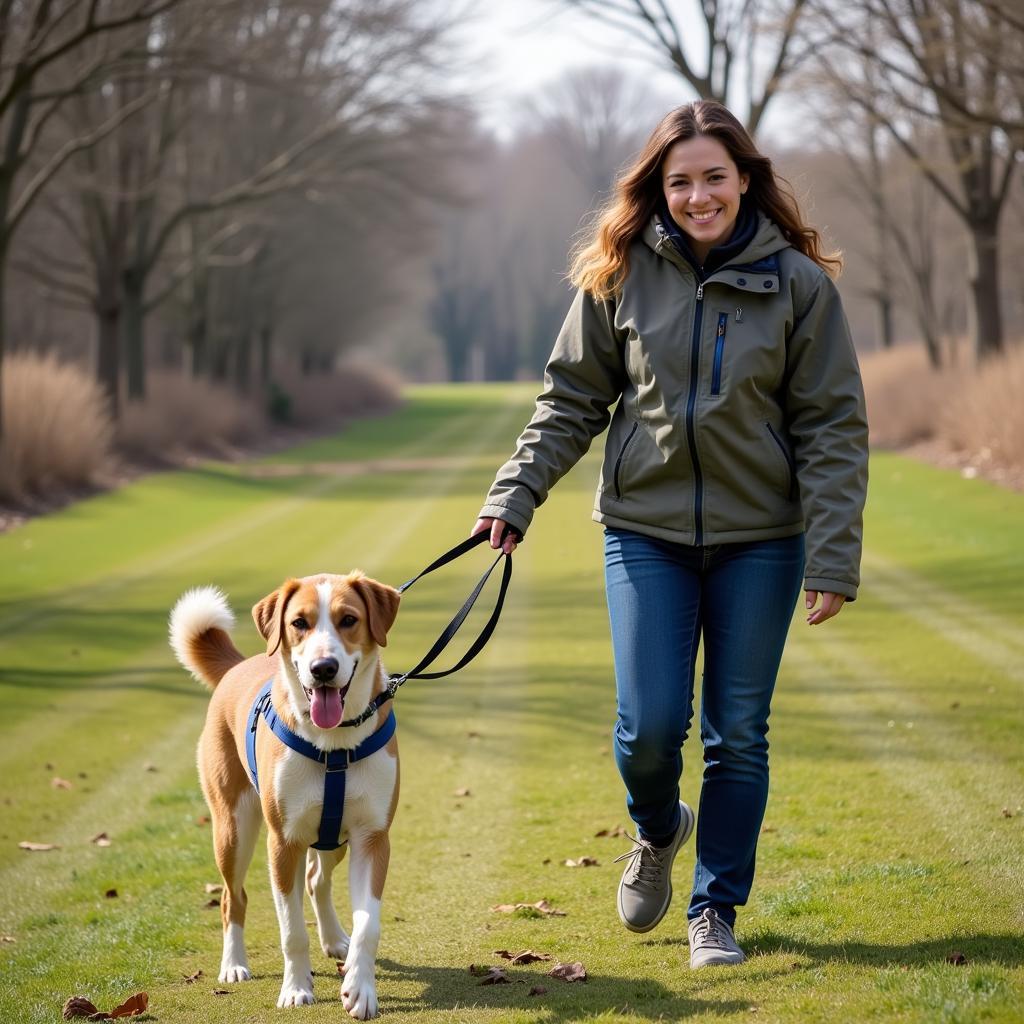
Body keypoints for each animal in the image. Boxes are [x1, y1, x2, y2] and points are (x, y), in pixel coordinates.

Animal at [167, 573, 399, 1019]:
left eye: (349, 619)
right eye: (299, 623)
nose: (323, 669)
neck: (334, 743)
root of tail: (238, 666)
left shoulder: (372, 839)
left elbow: (369, 925)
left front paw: (360, 988)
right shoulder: (283, 842)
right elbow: (291, 930)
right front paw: (295, 990)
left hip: (333, 838)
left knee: (316, 880)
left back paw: (334, 939)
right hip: (233, 828)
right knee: (232, 897)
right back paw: (234, 964)